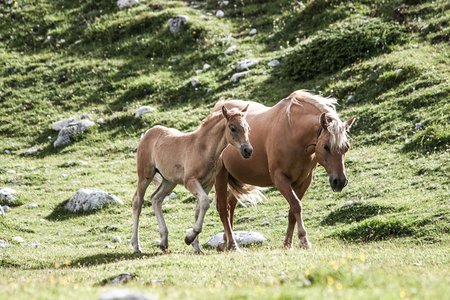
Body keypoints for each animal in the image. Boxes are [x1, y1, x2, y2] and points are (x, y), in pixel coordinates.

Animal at [132, 105, 253, 253]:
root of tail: (148, 133)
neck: (204, 149)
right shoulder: (190, 181)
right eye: (232, 128)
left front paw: (196, 247)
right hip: (145, 175)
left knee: (156, 199)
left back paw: (164, 242)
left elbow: (199, 209)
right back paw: (136, 246)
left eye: (247, 128)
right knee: (138, 201)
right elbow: (205, 202)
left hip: (169, 181)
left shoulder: (207, 184)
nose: (248, 150)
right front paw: (189, 238)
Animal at [214, 91, 356, 251]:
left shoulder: (303, 181)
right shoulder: (280, 179)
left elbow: (292, 212)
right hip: (221, 177)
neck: (292, 132)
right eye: (326, 146)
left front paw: (288, 243)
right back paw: (231, 244)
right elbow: (296, 206)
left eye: (346, 147)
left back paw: (225, 242)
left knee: (230, 207)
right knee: (223, 209)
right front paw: (304, 240)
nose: (340, 181)